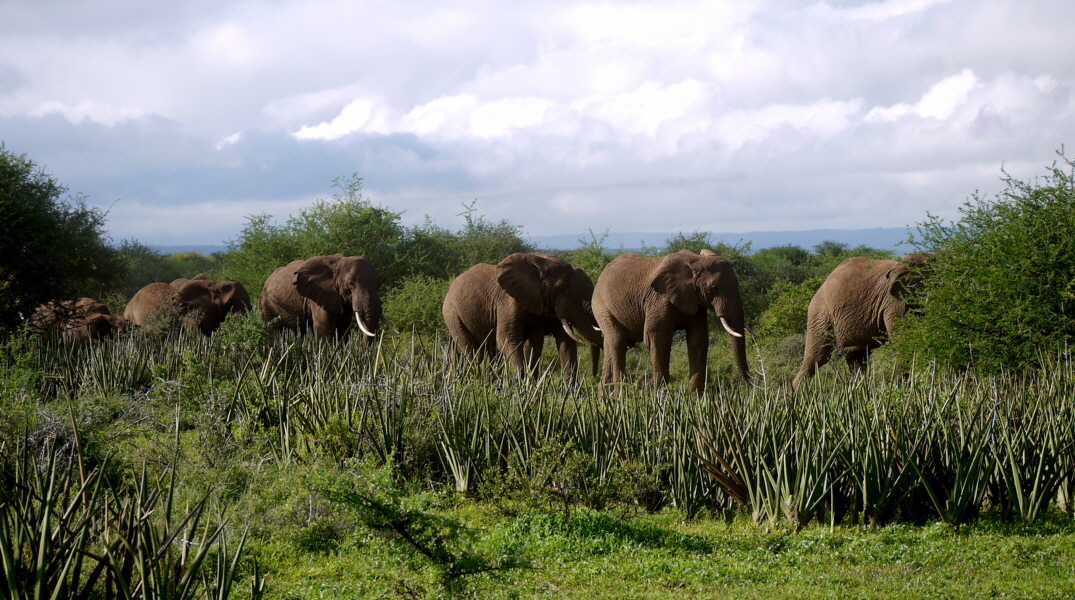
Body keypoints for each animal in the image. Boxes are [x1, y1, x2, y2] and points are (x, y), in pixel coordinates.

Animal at [256, 252, 389, 344]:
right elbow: (325, 330)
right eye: (351, 284)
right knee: (273, 331)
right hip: (266, 304)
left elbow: (342, 328)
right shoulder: (319, 293)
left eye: (379, 283)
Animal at [438, 250, 606, 376]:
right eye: (560, 289)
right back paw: (476, 378)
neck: (538, 265)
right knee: (467, 346)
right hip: (451, 312)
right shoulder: (508, 300)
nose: (594, 376)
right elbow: (507, 338)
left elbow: (549, 342)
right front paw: (521, 383)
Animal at [593, 247, 752, 397]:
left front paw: (697, 400)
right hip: (602, 307)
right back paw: (620, 396)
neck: (697, 261)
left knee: (610, 346)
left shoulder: (695, 299)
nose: (751, 386)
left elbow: (698, 339)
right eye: (714, 288)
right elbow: (656, 337)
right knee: (618, 342)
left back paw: (605, 398)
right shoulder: (659, 300)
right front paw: (652, 390)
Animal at [791, 253, 933, 391]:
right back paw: (800, 393)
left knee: (856, 356)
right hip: (820, 314)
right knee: (817, 357)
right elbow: (903, 339)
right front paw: (899, 387)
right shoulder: (894, 301)